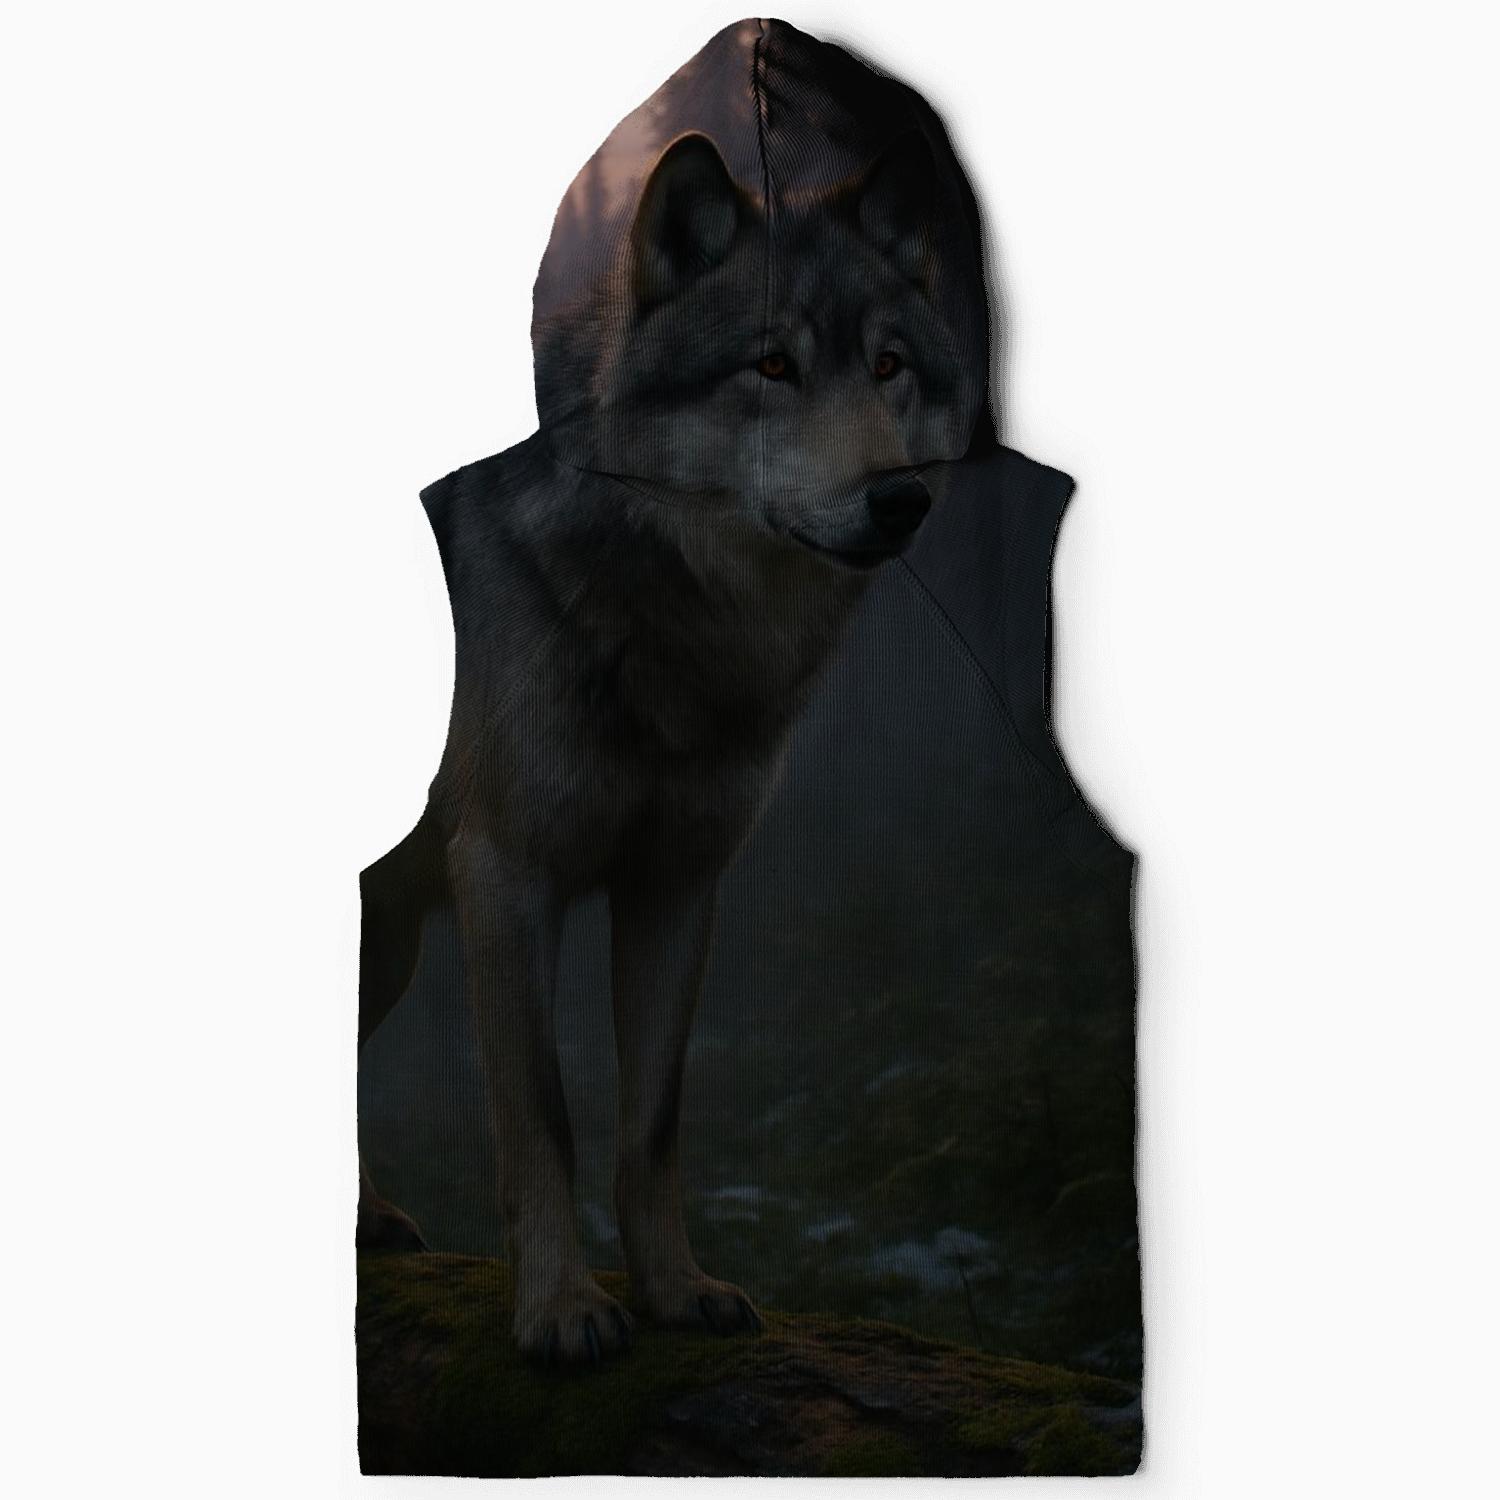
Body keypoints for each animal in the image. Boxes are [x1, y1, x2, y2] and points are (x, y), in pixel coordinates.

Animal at [357, 127, 983, 1368]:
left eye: (889, 365)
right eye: (772, 367)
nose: (899, 501)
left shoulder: (678, 887)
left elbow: (651, 1124)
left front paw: (674, 1291)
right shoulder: (509, 880)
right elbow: (543, 1118)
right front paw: (560, 1310)